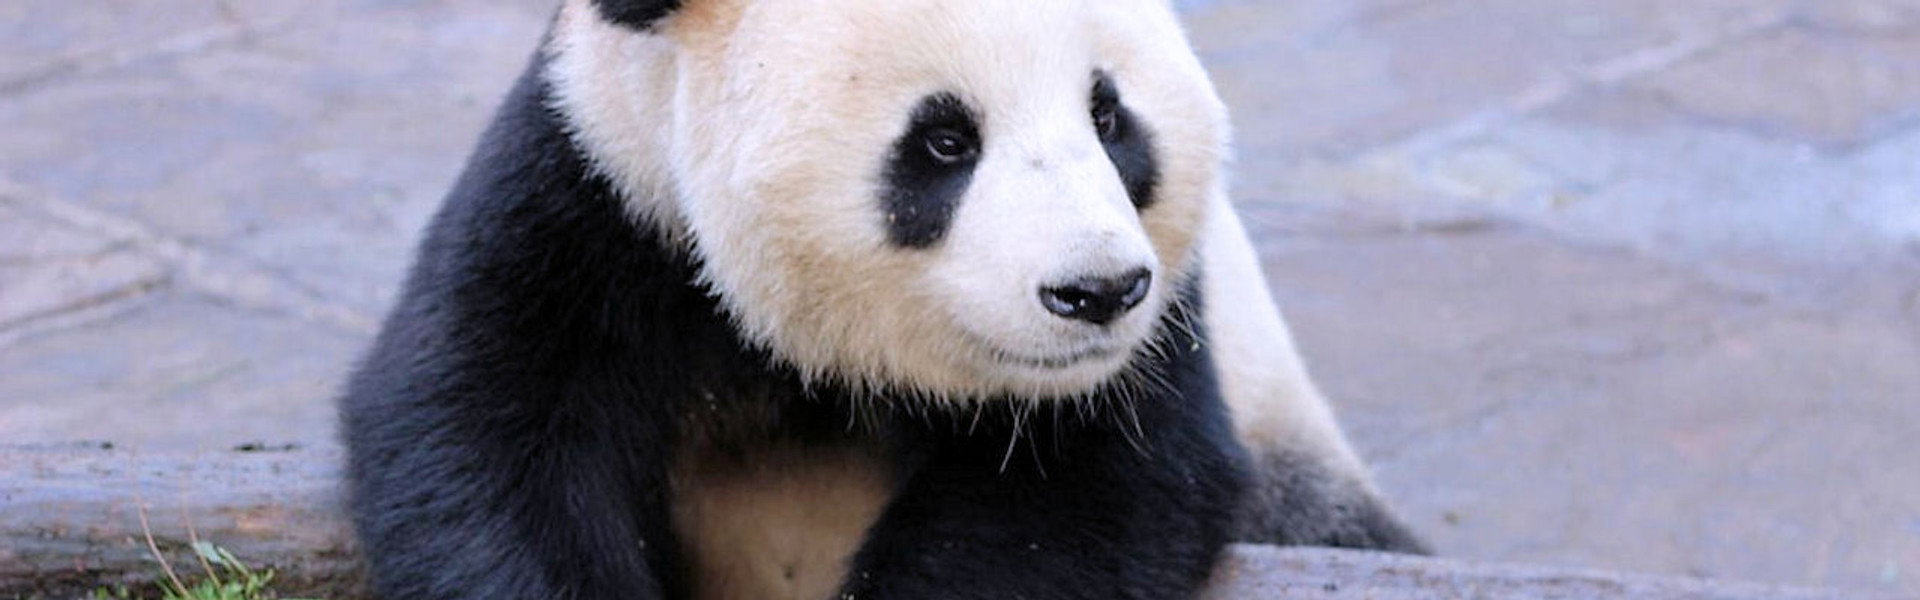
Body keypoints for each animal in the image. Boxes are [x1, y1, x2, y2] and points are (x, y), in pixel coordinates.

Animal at [340, 0, 1426, 598]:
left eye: (1110, 116)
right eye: (945, 139)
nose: (1098, 292)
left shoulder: (1162, 341)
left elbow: (1093, 495)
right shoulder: (602, 196)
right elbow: (483, 435)